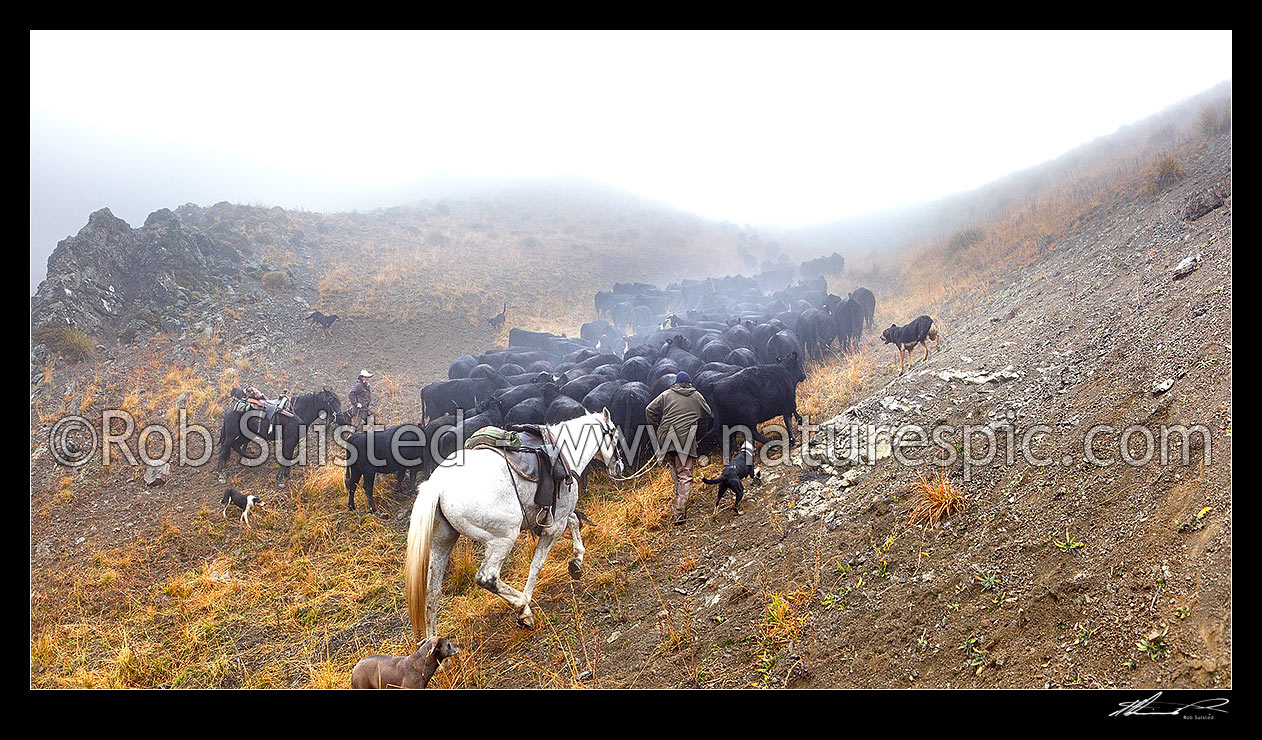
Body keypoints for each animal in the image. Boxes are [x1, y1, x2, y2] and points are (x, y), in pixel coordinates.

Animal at [406, 409, 623, 638]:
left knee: (431, 593)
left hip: (442, 542)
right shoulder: (554, 525)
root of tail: (436, 486)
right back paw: (522, 605)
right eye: (615, 437)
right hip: (502, 539)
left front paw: (577, 560)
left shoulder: (557, 516)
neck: (565, 452)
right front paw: (528, 602)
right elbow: (537, 564)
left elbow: (574, 521)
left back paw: (433, 641)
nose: (619, 466)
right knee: (488, 578)